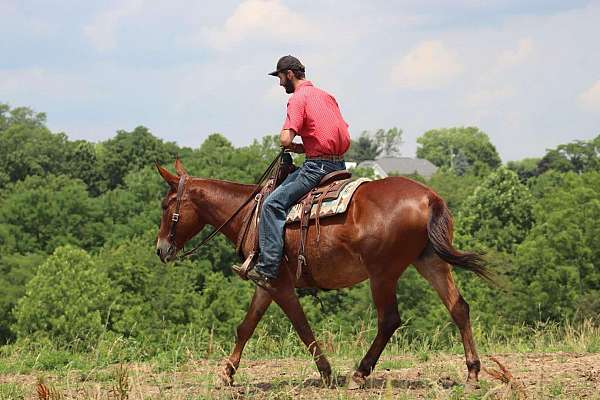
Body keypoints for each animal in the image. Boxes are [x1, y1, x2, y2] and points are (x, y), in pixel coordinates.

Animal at [156, 159, 492, 388]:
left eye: (165, 205)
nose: (160, 249)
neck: (252, 215)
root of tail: (429, 197)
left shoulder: (280, 285)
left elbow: (302, 328)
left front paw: (327, 373)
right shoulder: (266, 285)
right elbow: (246, 327)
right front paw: (227, 373)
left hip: (383, 273)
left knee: (389, 320)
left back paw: (359, 373)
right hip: (430, 262)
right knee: (458, 308)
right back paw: (473, 373)